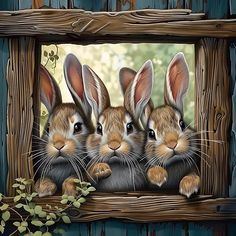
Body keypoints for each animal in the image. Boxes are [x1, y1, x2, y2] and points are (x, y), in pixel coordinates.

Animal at [34, 54, 93, 197]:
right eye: (48, 128)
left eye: (77, 127)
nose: (58, 145)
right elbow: (43, 179)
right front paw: (44, 188)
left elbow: (74, 178)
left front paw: (70, 191)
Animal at [121, 52, 200, 198]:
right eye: (151, 133)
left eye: (182, 123)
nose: (172, 144)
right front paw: (158, 175)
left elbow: (193, 174)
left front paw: (189, 186)